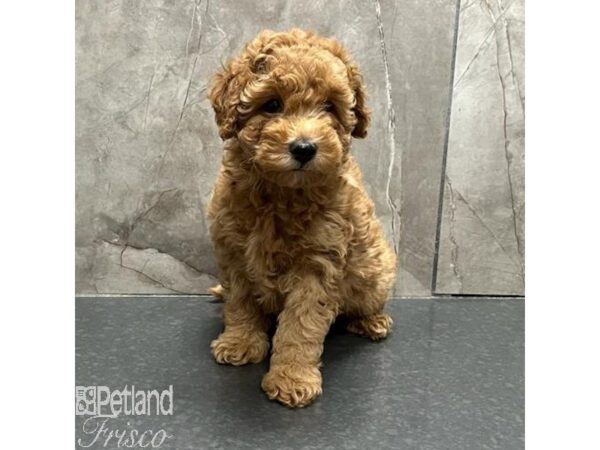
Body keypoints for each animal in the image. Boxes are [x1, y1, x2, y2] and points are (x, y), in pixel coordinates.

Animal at [209, 28, 396, 408]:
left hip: (376, 272)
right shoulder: (234, 252)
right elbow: (240, 302)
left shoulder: (318, 267)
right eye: (272, 105)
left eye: (329, 107)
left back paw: (373, 322)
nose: (305, 148)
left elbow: (300, 326)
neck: (281, 194)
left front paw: (292, 377)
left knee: (369, 300)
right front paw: (240, 342)